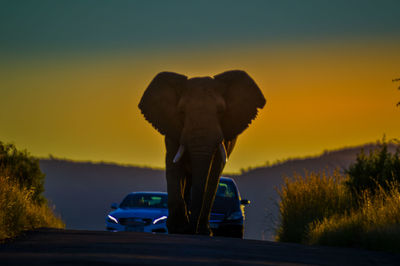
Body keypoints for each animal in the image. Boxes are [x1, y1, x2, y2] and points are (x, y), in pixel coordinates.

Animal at [138, 70, 266, 235]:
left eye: (221, 111)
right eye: (182, 112)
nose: (192, 230)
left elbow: (212, 174)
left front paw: (201, 231)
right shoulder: (172, 130)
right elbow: (173, 167)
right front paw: (178, 229)